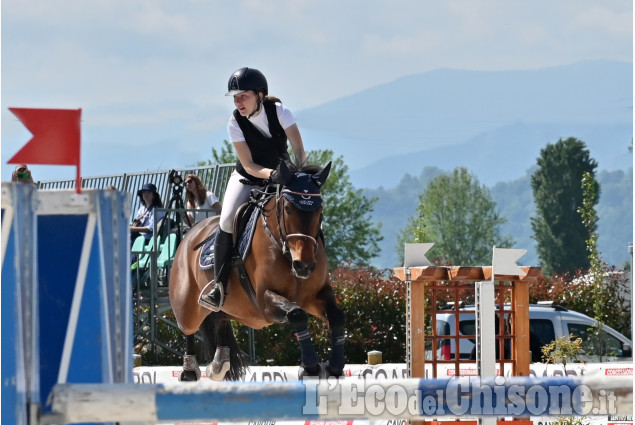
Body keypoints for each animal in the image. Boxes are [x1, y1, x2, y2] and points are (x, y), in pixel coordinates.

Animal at [169, 161, 346, 380]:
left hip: (235, 309)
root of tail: (189, 233)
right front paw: (310, 366)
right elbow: (296, 314)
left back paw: (219, 363)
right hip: (188, 305)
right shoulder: (264, 301)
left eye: (319, 209)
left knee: (220, 318)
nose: (304, 266)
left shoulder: (314, 296)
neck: (285, 250)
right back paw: (189, 371)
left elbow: (337, 316)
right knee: (189, 328)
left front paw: (335, 366)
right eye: (287, 208)